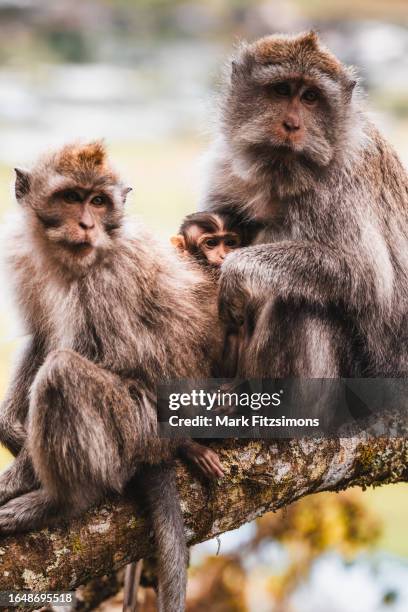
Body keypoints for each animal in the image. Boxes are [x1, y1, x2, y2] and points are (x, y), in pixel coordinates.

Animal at [0, 141, 223, 608]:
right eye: (72, 197)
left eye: (99, 202)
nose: (87, 224)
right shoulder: (25, 257)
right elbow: (41, 334)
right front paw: (10, 428)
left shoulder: (109, 278)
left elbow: (108, 356)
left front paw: (16, 480)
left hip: (136, 427)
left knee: (63, 373)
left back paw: (60, 501)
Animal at [204, 31, 408, 380]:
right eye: (282, 90)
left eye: (311, 97)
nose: (291, 125)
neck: (282, 177)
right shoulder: (224, 171)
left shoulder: (344, 187)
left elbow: (366, 275)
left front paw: (236, 269)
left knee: (297, 304)